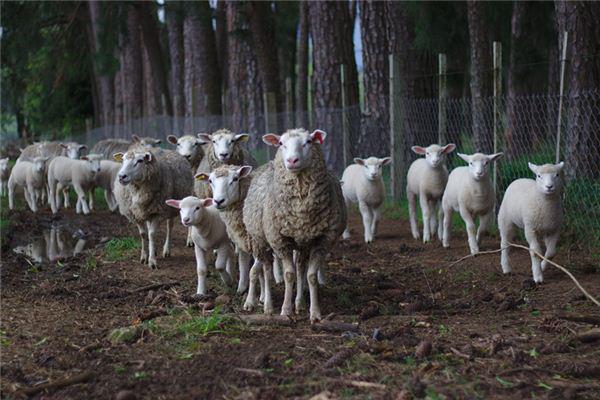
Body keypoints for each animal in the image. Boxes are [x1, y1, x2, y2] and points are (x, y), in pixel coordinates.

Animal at [245, 128, 346, 322]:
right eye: (281, 143)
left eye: (308, 142)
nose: (292, 161)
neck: (301, 212)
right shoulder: (280, 240)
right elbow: (288, 275)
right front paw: (286, 310)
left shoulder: (322, 241)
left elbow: (311, 276)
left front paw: (315, 313)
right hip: (261, 239)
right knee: (266, 270)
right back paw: (267, 305)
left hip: (302, 244)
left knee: (300, 268)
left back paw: (299, 303)